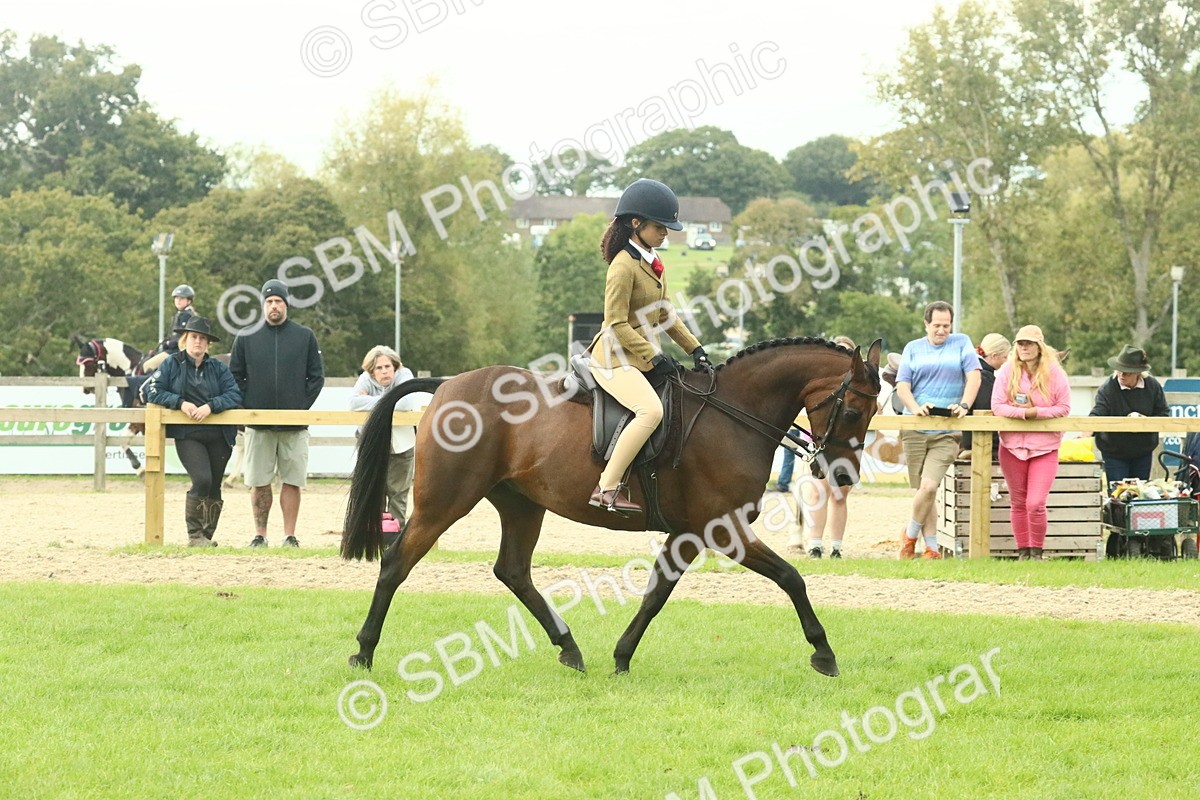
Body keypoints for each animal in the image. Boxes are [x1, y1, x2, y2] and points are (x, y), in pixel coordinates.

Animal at [342, 337, 882, 678]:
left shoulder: (688, 534)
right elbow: (791, 578)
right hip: (445, 502)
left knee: (513, 571)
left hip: (521, 505)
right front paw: (824, 653)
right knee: (397, 562)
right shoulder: (723, 529)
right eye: (853, 411)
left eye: (875, 411)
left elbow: (656, 593)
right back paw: (363, 652)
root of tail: (447, 386)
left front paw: (621, 657)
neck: (732, 416)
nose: (842, 476)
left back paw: (569, 649)